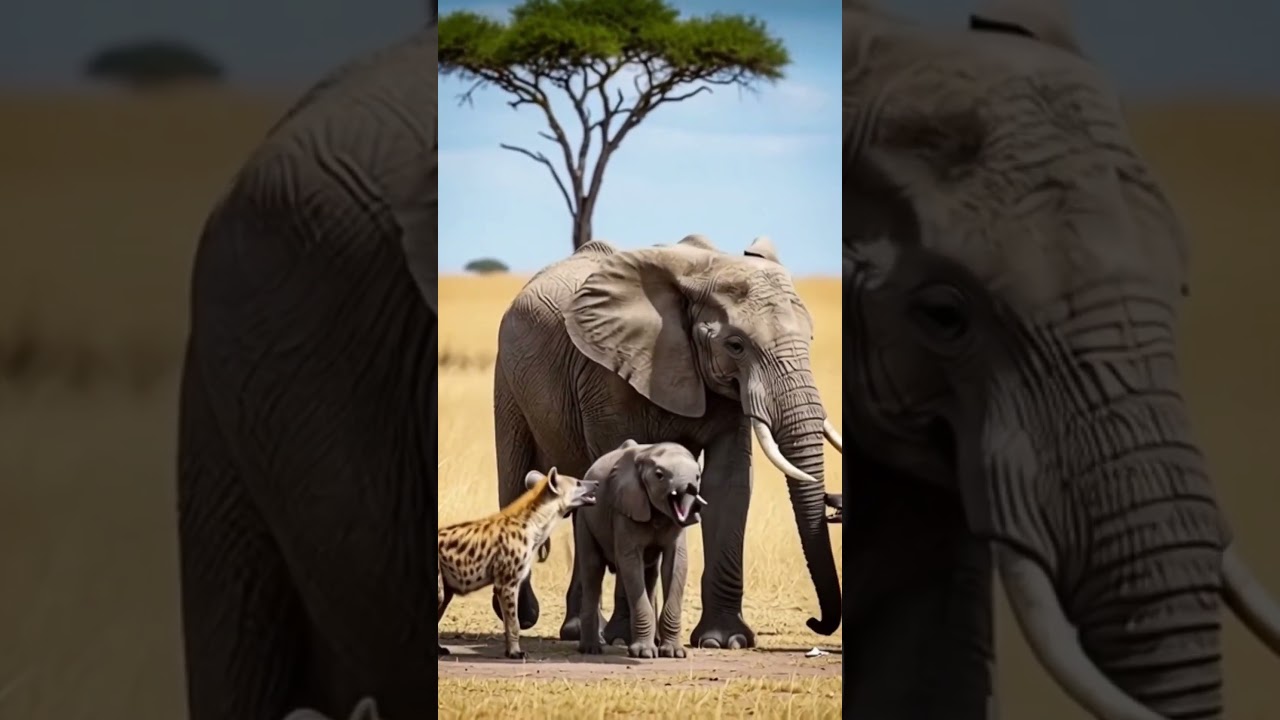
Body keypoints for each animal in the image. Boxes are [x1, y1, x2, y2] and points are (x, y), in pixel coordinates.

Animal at [574, 439, 705, 658]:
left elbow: (676, 563)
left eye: (697, 476)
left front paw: (674, 653)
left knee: (650, 573)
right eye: (659, 475)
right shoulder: (625, 508)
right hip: (585, 518)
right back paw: (591, 649)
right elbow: (630, 563)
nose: (692, 488)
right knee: (593, 570)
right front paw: (644, 653)